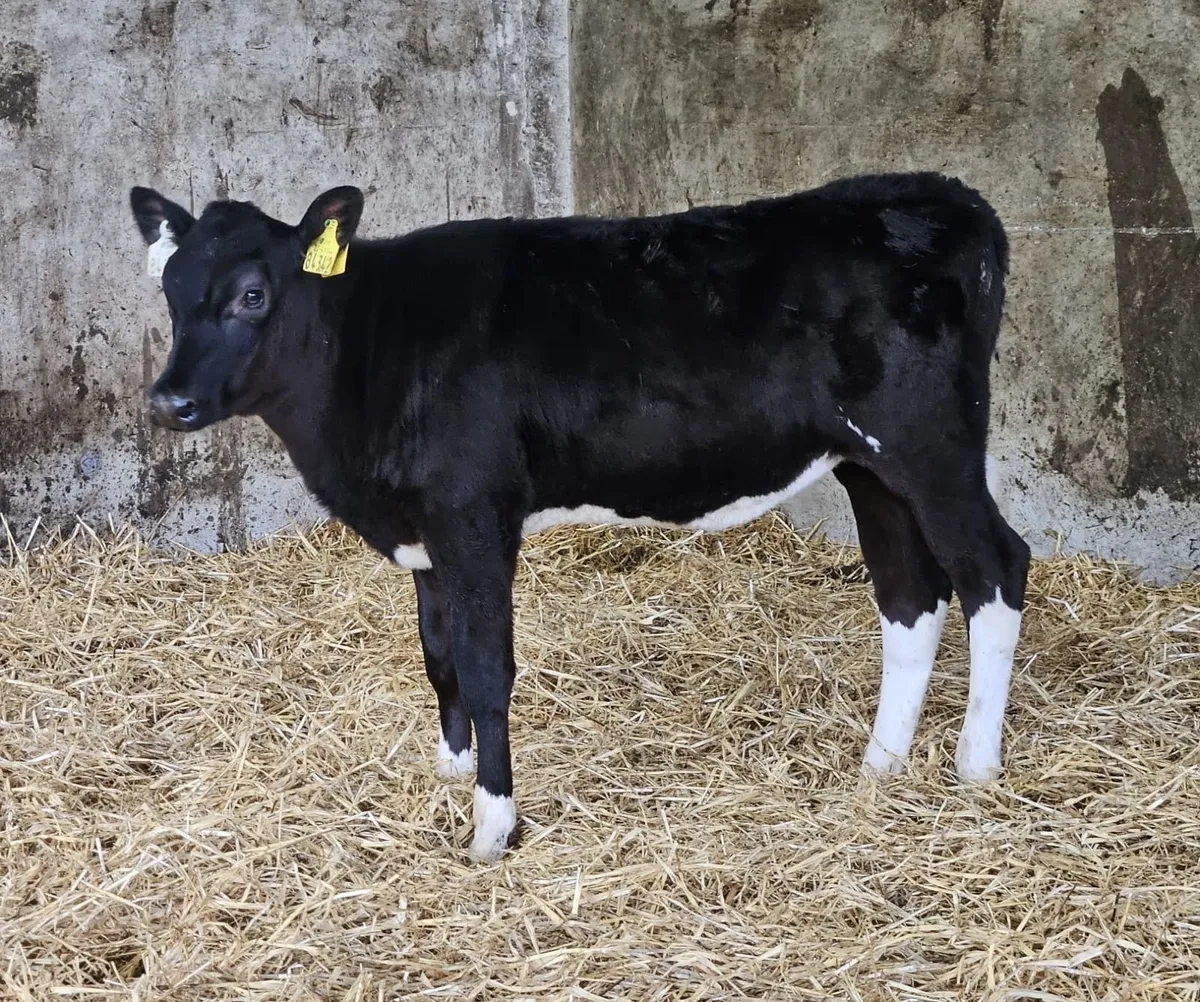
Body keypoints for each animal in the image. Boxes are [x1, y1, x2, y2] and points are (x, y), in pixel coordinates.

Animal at [129, 172, 1031, 861]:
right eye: (169, 290)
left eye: (252, 296)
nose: (168, 401)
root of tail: (945, 195)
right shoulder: (427, 530)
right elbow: (438, 657)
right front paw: (449, 770)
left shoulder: (474, 515)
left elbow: (485, 668)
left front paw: (492, 826)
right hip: (868, 465)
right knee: (909, 593)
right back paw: (880, 766)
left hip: (930, 442)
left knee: (994, 567)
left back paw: (975, 766)